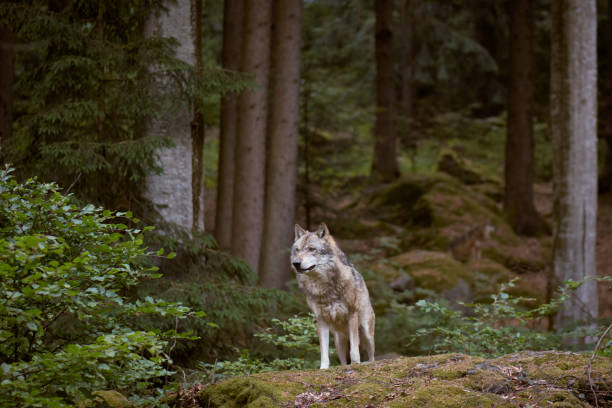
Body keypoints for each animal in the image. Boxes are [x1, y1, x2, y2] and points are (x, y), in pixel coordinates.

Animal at [290, 223, 372, 370]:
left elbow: (354, 349)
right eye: (297, 250)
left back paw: (367, 362)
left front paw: (356, 364)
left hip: (366, 333)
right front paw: (323, 368)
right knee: (343, 361)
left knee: (371, 355)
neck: (324, 286)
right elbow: (324, 350)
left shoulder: (352, 314)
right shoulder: (321, 319)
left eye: (312, 249)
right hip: (339, 342)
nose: (296, 263)